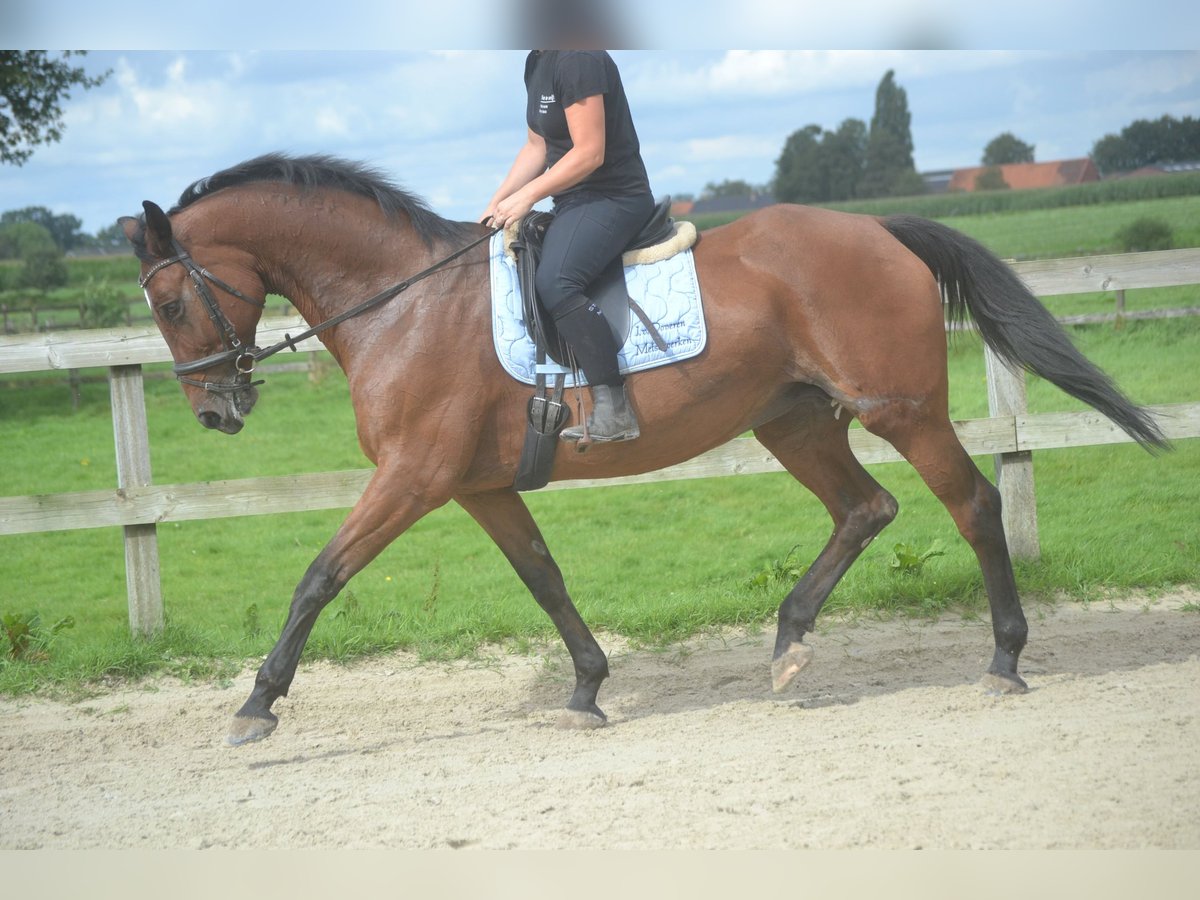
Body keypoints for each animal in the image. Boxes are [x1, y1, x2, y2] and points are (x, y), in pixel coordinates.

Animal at [121, 154, 1161, 748]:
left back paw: (1005, 659)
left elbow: (319, 577)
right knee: (867, 510)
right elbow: (544, 577)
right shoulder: (478, 485)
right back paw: (788, 644)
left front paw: (258, 704)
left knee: (973, 506)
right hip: (793, 421)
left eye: (169, 302)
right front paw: (587, 688)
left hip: (899, 410)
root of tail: (876, 226)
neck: (401, 303)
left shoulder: (412, 479)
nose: (215, 411)